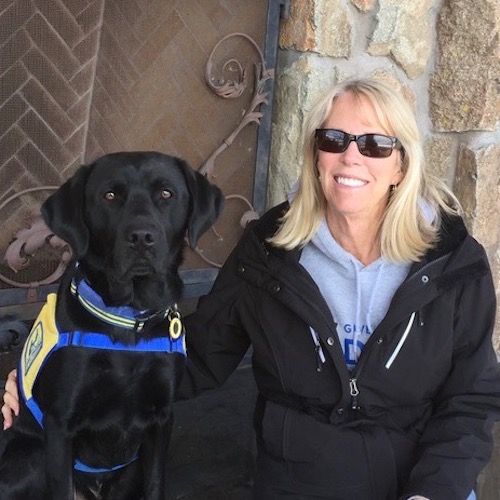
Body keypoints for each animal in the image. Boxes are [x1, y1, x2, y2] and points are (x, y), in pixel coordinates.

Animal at [0, 152, 225, 500]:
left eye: (166, 193)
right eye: (109, 195)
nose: (142, 237)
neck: (128, 317)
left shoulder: (161, 417)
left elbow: (156, 484)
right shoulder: (60, 424)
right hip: (33, 456)